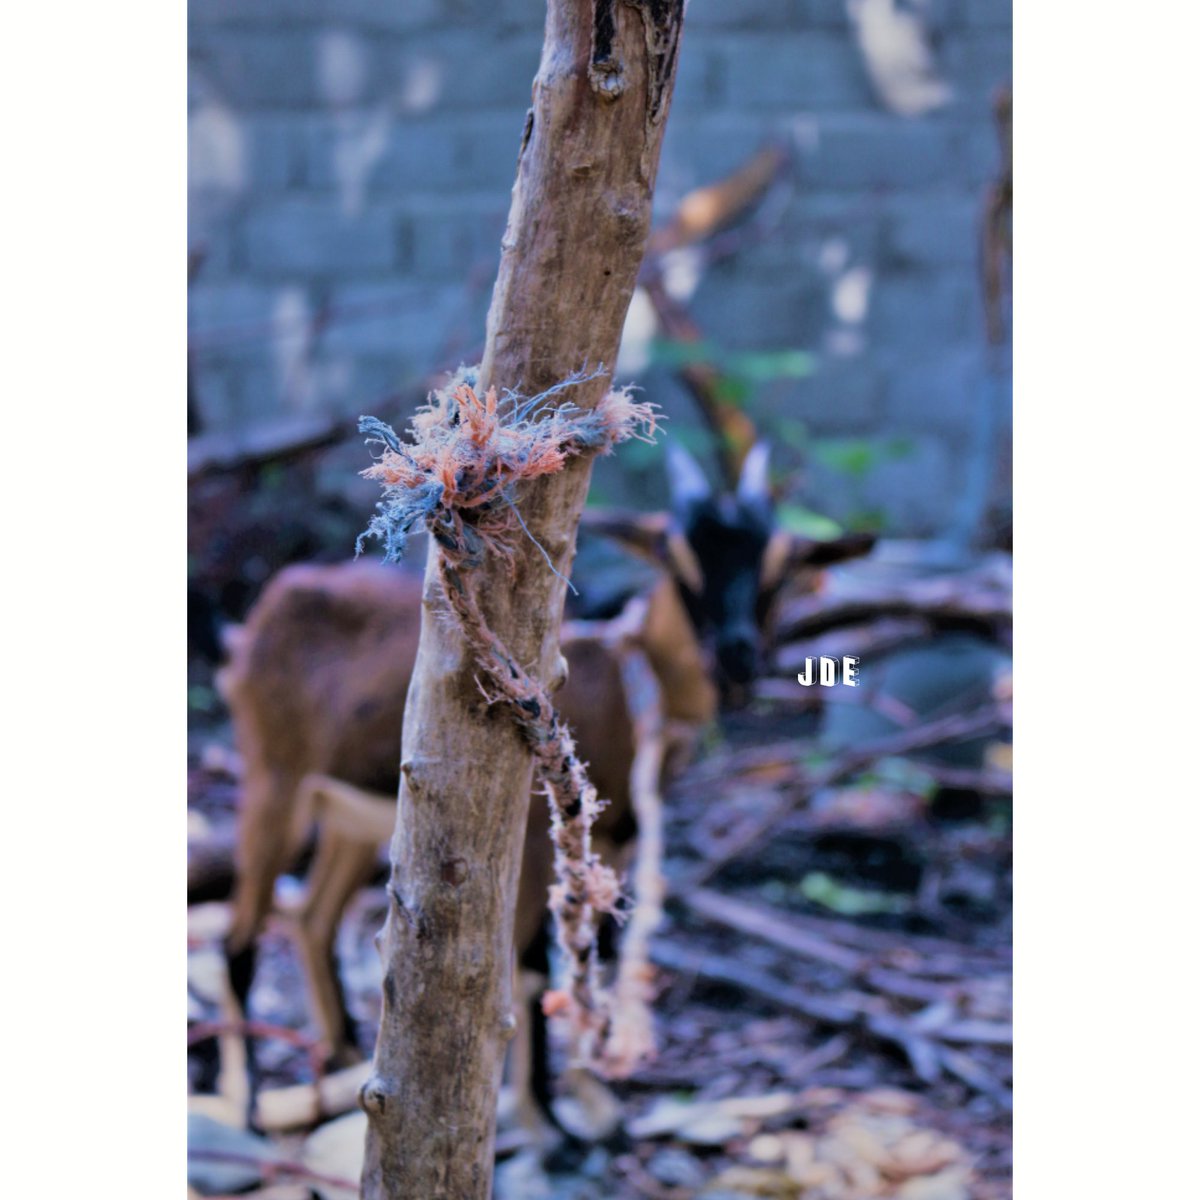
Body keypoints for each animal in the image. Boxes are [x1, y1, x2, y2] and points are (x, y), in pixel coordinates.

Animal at [217, 442, 874, 1138]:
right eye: (676, 559)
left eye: (781, 566)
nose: (737, 656)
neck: (622, 681)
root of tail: (267, 606)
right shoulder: (536, 837)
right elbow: (531, 964)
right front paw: (548, 1122)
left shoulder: (614, 835)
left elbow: (597, 946)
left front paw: (597, 1098)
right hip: (273, 777)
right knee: (239, 933)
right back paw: (248, 1103)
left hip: (347, 817)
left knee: (312, 917)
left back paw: (343, 1058)